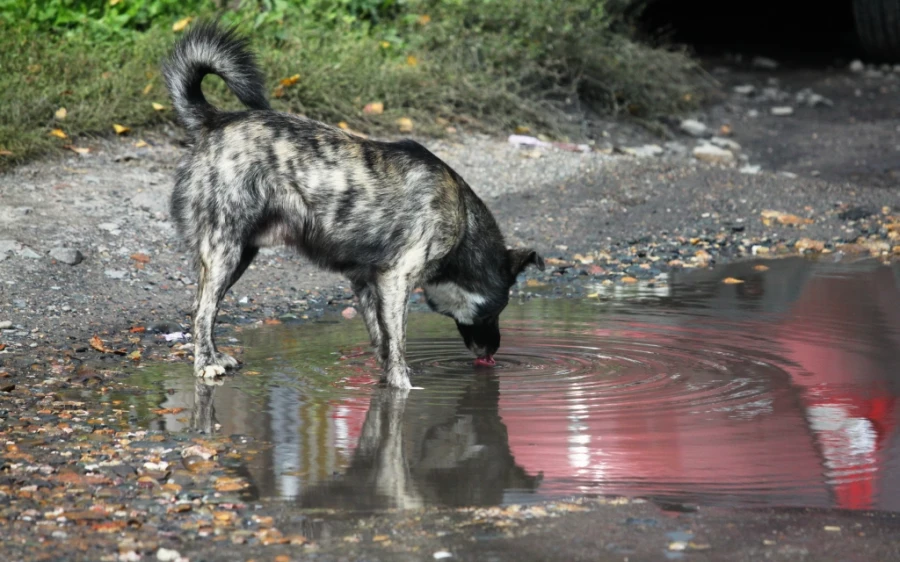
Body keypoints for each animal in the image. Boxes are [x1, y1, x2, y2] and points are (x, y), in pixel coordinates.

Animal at [162, 23, 544, 390]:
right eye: (496, 310)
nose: (493, 352)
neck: (464, 222)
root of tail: (215, 120)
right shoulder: (397, 280)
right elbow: (398, 345)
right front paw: (403, 385)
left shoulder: (366, 283)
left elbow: (382, 341)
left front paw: (386, 378)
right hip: (225, 250)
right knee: (202, 310)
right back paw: (205, 362)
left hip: (241, 253)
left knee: (202, 306)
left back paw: (214, 354)